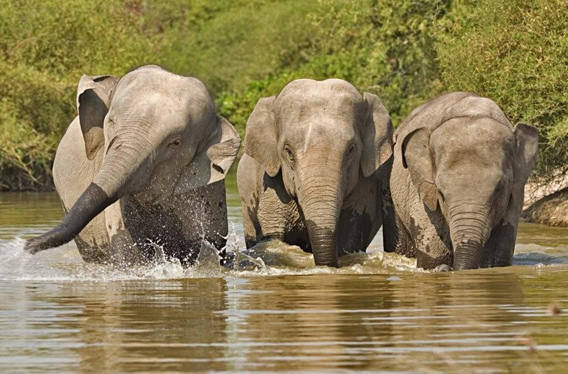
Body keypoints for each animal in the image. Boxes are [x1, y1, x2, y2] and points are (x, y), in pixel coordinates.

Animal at [386, 92, 536, 270]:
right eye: (441, 193)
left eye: (499, 189)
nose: (447, 269)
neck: (473, 112)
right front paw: (439, 266)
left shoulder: (516, 193)